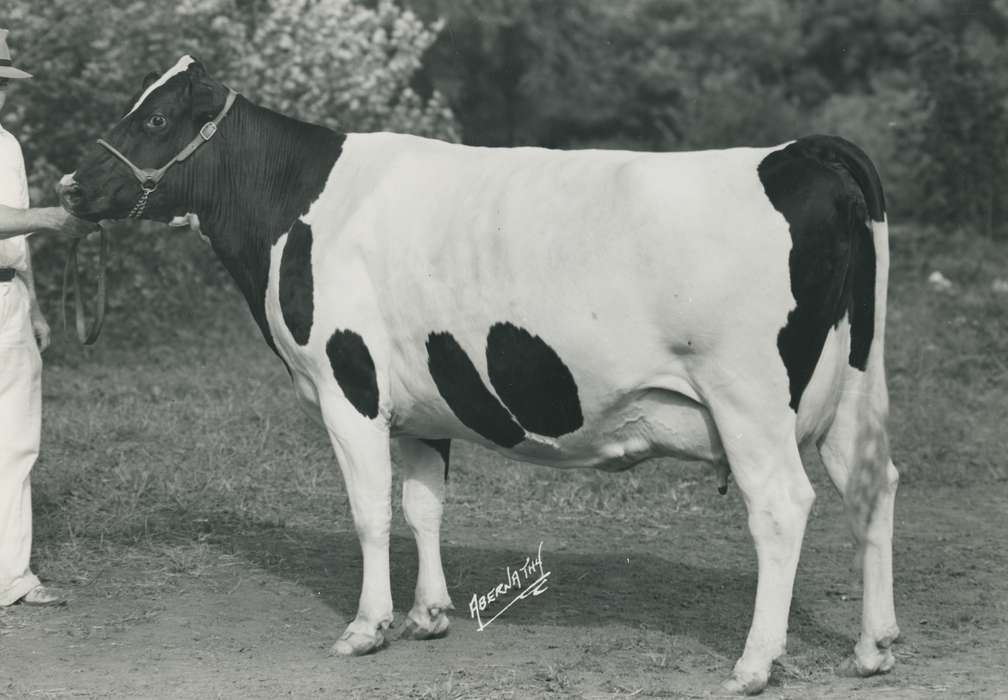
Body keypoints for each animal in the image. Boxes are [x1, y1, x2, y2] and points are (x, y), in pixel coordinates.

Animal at [61, 57, 899, 695]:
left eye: (156, 121)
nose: (70, 185)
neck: (300, 205)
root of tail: (797, 152)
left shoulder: (348, 383)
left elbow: (370, 511)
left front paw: (366, 628)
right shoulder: (422, 402)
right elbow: (424, 505)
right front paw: (428, 617)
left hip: (747, 397)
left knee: (782, 506)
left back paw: (754, 664)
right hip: (856, 388)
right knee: (873, 484)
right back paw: (874, 647)